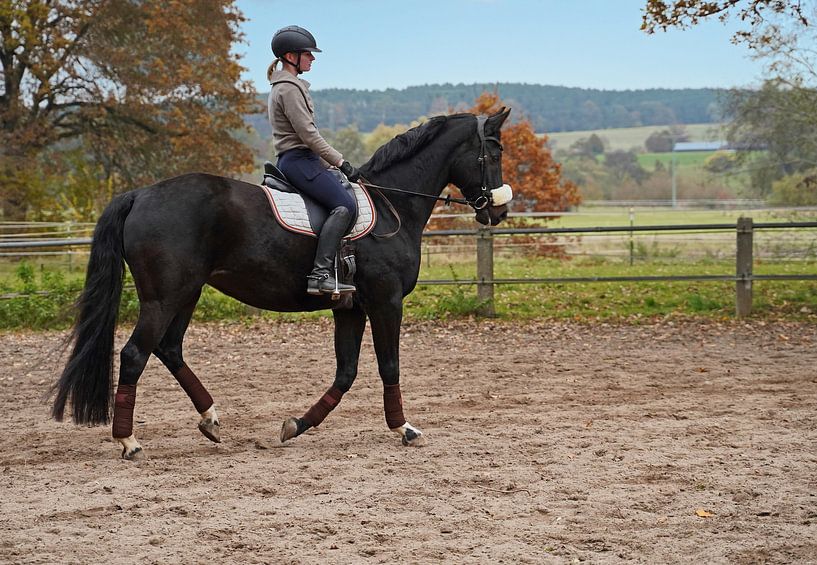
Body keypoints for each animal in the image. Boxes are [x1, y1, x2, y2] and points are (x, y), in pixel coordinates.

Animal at [51, 108, 512, 459]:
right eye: (493, 151)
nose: (498, 213)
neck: (392, 204)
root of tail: (140, 194)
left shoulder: (351, 307)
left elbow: (346, 373)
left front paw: (297, 424)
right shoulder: (386, 301)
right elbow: (388, 366)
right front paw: (405, 429)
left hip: (186, 293)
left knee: (169, 349)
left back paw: (210, 420)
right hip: (163, 298)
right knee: (134, 355)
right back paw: (128, 440)